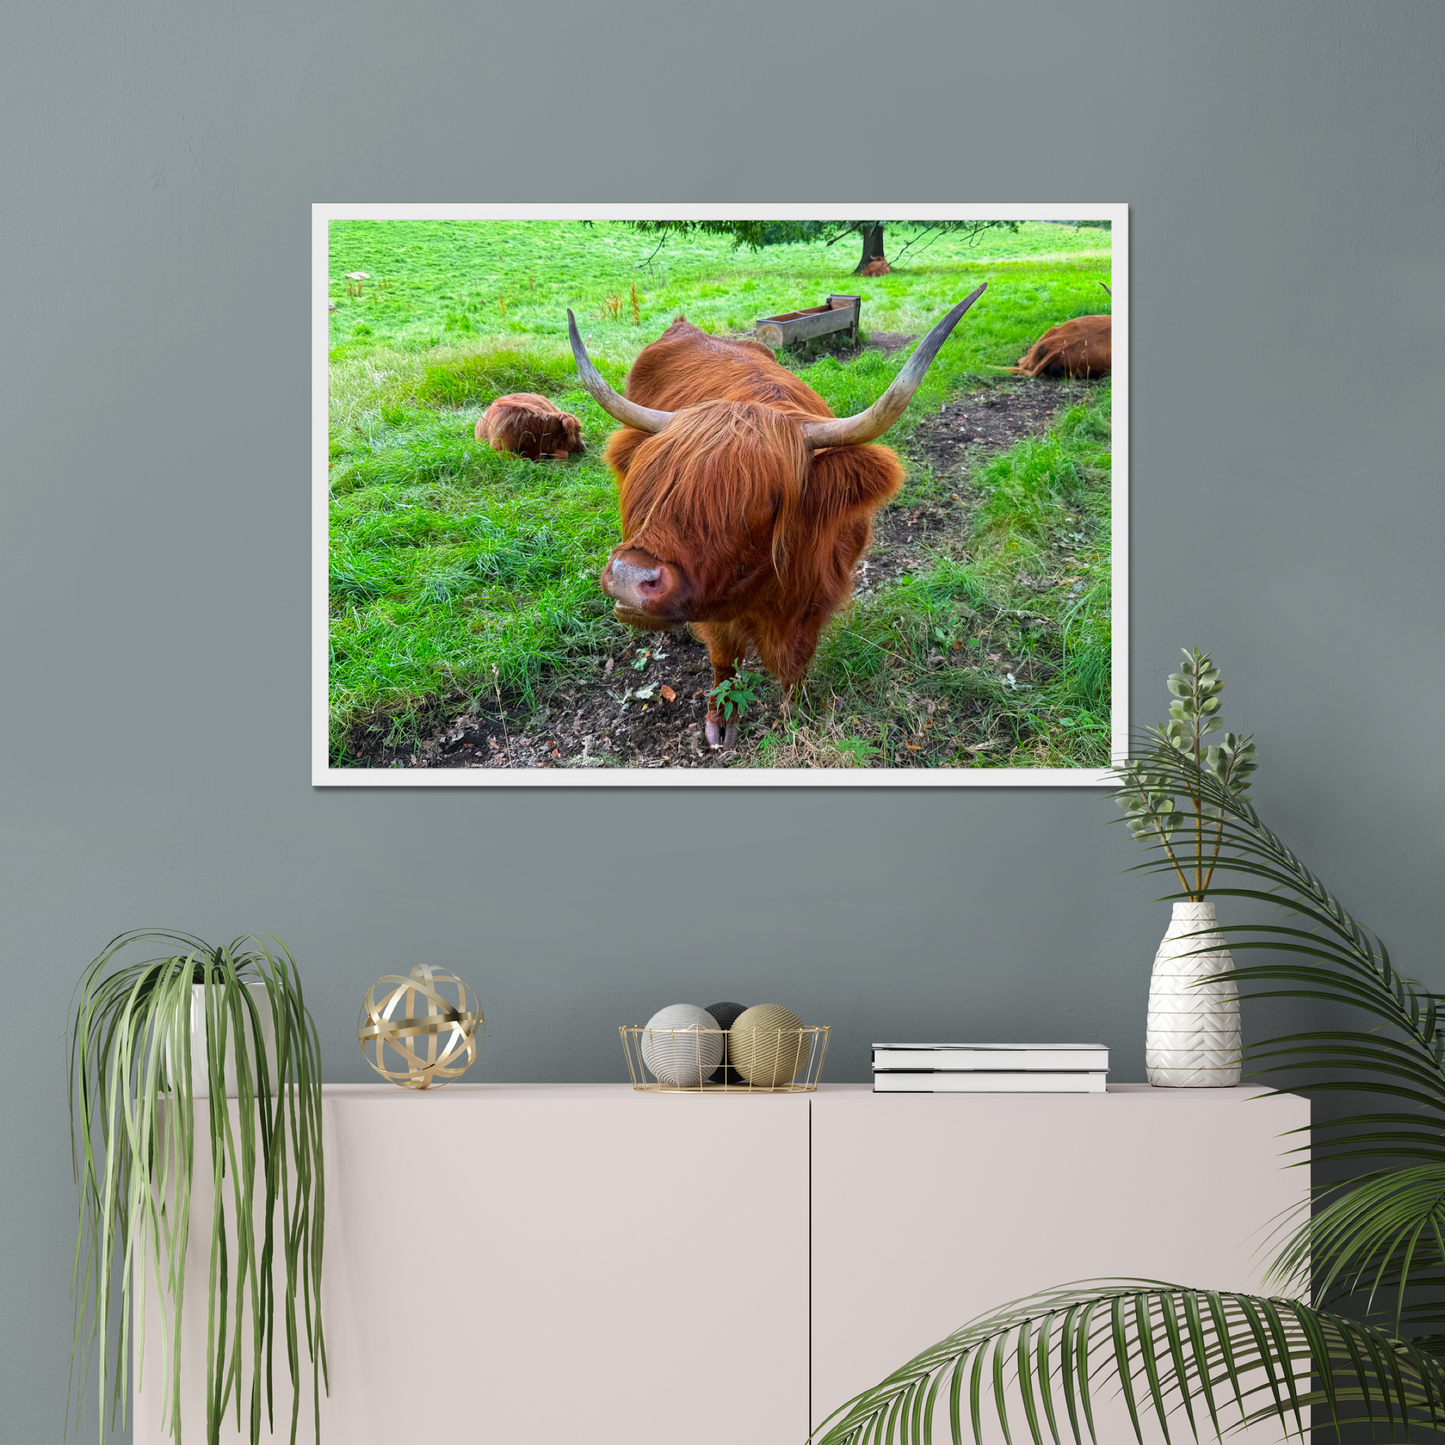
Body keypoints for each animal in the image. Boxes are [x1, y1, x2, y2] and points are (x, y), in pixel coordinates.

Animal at [566, 285, 986, 747]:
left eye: (765, 499)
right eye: (654, 480)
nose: (629, 577)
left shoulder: (818, 596)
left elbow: (796, 661)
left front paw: (795, 712)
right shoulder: (714, 608)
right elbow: (724, 658)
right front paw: (720, 719)